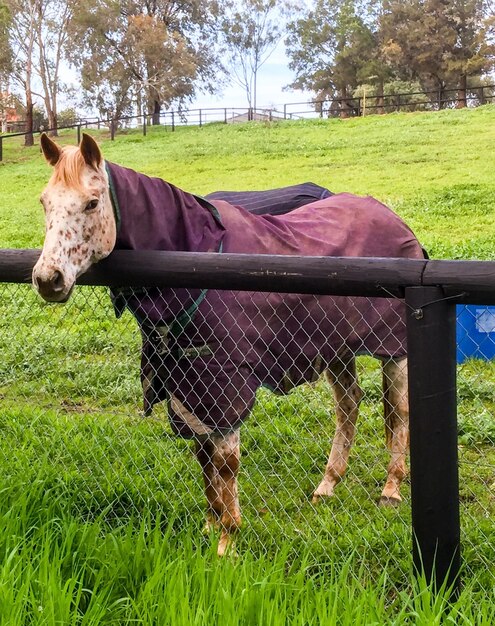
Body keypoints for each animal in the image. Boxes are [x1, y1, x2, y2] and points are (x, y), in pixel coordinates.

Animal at [33, 134, 424, 552]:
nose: (47, 278)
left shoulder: (225, 384)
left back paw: (391, 488)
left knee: (398, 411)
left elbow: (225, 464)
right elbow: (202, 456)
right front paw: (210, 524)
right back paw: (327, 484)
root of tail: (391, 216)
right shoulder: (188, 383)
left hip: (393, 349)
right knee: (349, 404)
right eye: (44, 202)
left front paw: (228, 539)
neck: (198, 262)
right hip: (336, 346)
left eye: (92, 202)